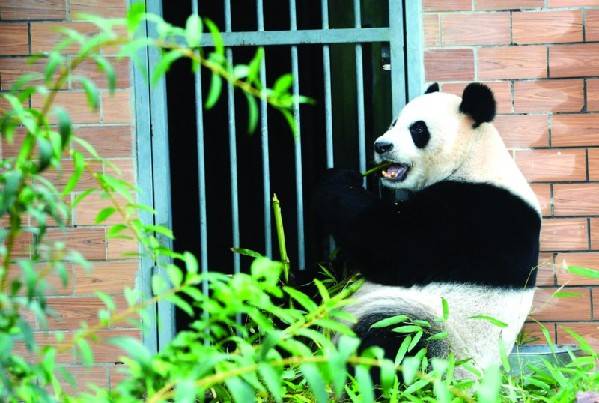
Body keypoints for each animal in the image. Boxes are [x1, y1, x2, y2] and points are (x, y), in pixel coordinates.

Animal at [316, 83, 540, 376]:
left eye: (418, 130)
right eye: (394, 122)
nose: (381, 145)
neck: (474, 156)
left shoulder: (474, 213)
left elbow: (392, 247)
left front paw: (337, 178)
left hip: (436, 333)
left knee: (393, 340)